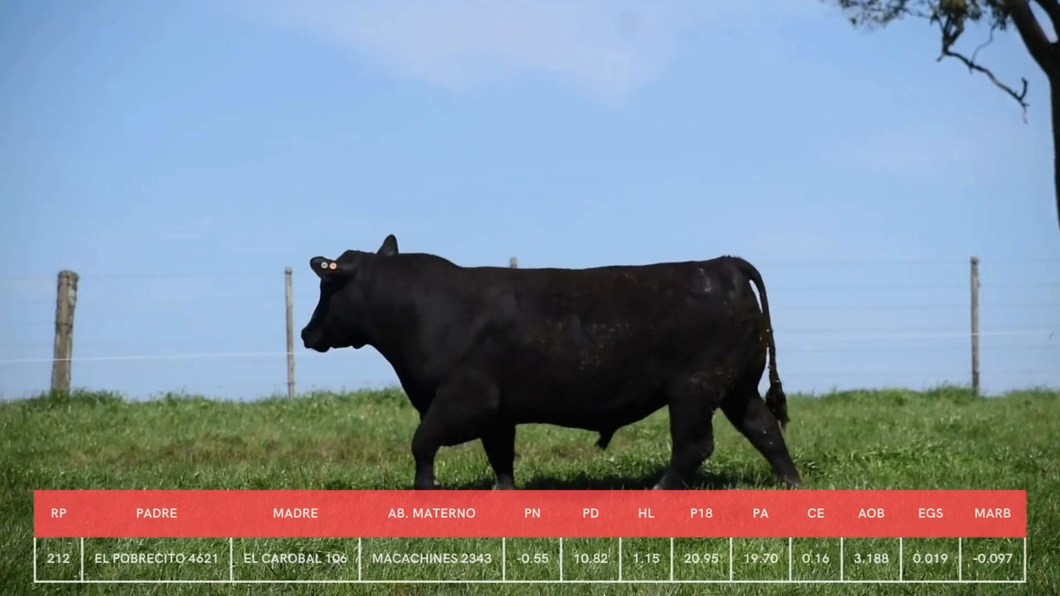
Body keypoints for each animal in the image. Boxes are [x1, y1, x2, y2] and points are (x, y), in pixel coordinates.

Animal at [298, 234, 797, 489]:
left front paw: (423, 494)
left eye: (327, 286)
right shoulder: (498, 411)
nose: (306, 333)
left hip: (694, 389)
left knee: (695, 446)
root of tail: (722, 264)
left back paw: (657, 491)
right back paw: (792, 484)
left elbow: (423, 443)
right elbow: (500, 457)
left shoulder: (464, 398)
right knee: (765, 430)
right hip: (736, 387)